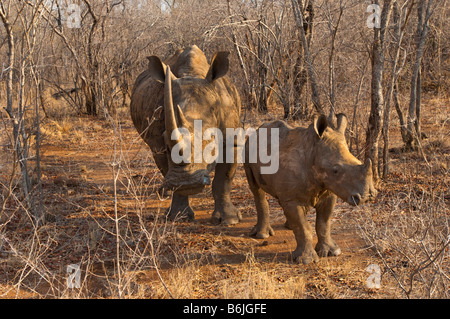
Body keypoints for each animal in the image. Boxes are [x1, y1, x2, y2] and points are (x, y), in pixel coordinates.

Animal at [244, 115, 378, 264]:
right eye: (335, 170)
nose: (368, 196)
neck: (313, 152)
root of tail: (257, 130)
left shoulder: (329, 193)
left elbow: (324, 223)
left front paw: (332, 252)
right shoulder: (293, 199)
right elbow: (304, 227)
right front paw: (306, 261)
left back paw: (288, 225)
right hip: (247, 149)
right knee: (256, 189)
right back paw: (262, 235)